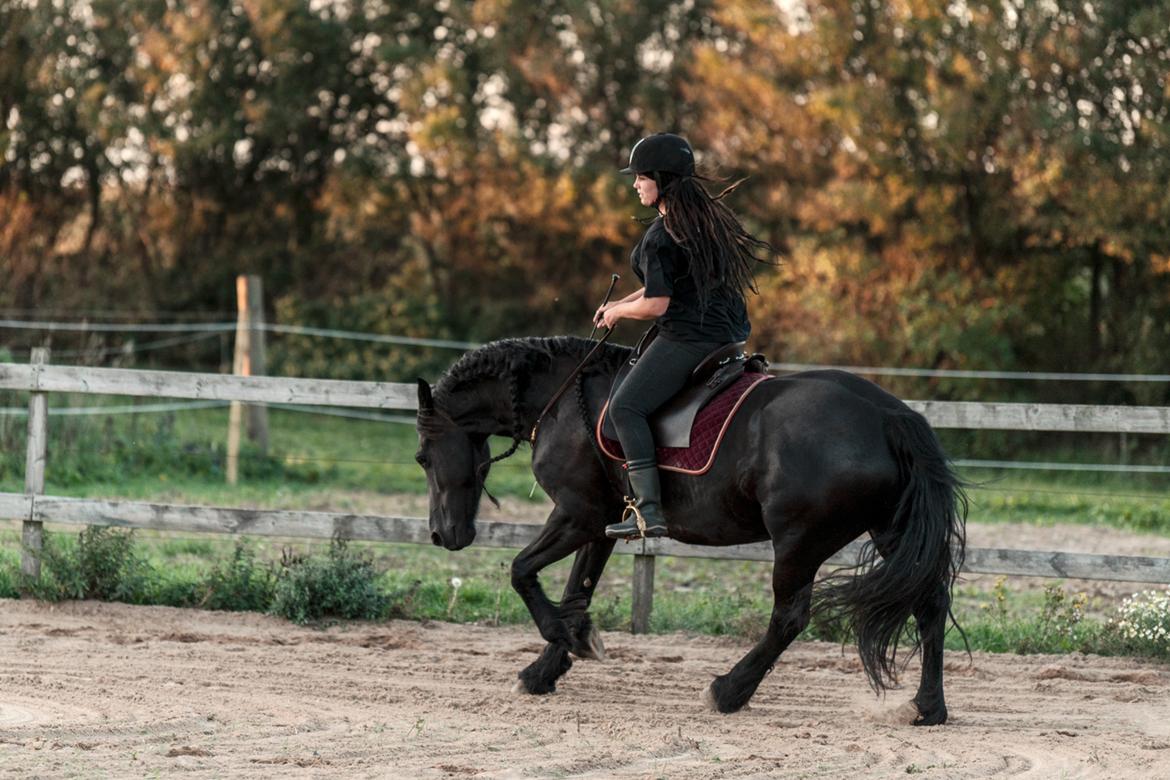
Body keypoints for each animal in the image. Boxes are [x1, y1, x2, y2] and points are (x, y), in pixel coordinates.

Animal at [416, 336, 964, 725]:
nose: (441, 535)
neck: (562, 398)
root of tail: (889, 415)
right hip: (889, 532)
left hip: (799, 542)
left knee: (789, 618)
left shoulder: (576, 515)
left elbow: (521, 571)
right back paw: (927, 707)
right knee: (930, 603)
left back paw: (727, 691)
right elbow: (576, 594)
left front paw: (567, 642)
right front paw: (547, 668)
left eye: (422, 456)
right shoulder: (600, 524)